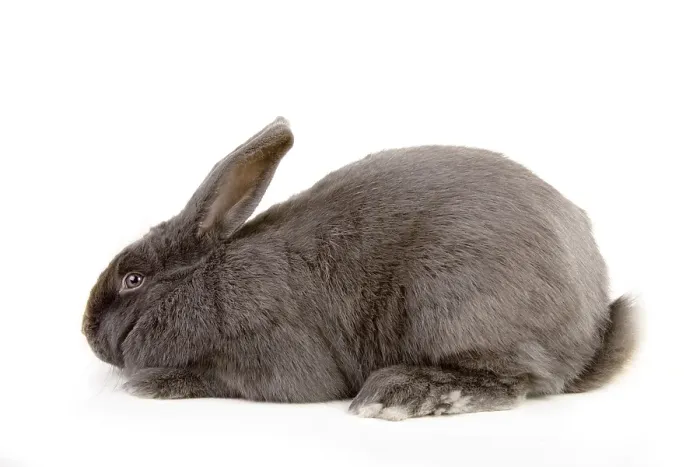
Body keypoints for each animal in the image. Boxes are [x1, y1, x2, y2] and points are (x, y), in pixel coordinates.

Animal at [82, 117, 637, 421]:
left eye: (133, 279)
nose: (87, 334)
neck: (210, 282)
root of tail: (592, 330)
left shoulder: (274, 353)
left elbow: (218, 378)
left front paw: (151, 384)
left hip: (455, 305)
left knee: (508, 381)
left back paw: (401, 394)